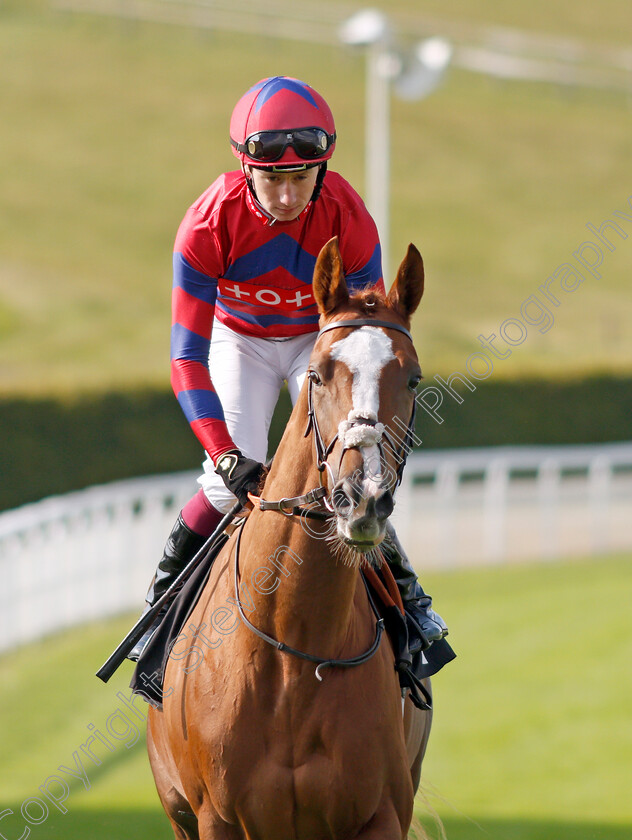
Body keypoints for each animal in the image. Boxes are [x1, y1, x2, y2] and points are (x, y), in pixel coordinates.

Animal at [147, 238, 434, 840]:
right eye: (319, 375)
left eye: (413, 378)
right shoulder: (216, 820)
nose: (362, 496)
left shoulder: (381, 815)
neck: (294, 646)